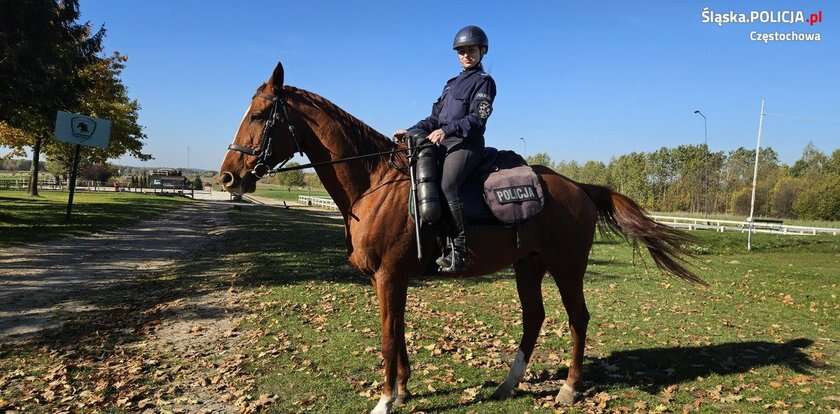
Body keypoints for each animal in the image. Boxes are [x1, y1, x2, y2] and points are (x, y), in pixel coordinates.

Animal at [218, 62, 704, 414]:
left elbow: (388, 335)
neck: (376, 183)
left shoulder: (389, 275)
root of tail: (579, 188)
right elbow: (399, 330)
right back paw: (508, 384)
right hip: (528, 266)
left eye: (259, 115)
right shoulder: (391, 278)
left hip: (567, 267)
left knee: (577, 318)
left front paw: (385, 400)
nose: (228, 177)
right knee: (535, 317)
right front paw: (403, 391)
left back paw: (569, 389)